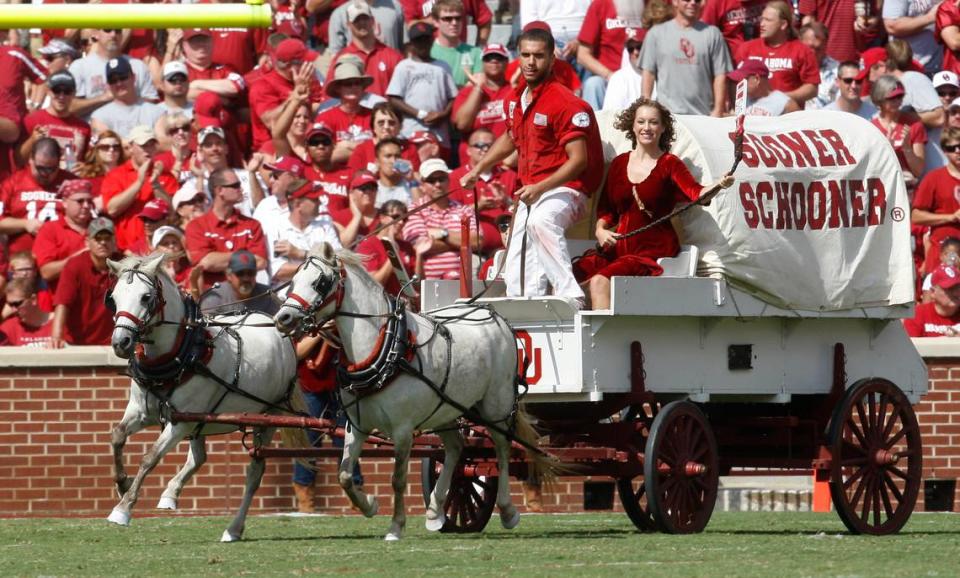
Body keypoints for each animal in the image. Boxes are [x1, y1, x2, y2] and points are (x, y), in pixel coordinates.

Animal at [104, 252, 304, 540]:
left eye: (146, 297)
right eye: (114, 297)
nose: (121, 342)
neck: (182, 353)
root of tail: (278, 331)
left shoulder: (179, 422)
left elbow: (150, 458)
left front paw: (123, 508)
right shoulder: (141, 412)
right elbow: (117, 436)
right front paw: (122, 483)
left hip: (268, 416)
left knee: (254, 473)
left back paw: (234, 528)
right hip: (199, 420)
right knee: (199, 457)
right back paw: (171, 493)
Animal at [274, 241, 552, 536]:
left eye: (320, 282)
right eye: (293, 281)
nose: (283, 317)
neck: (386, 347)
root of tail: (494, 315)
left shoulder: (403, 429)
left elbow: (398, 478)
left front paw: (396, 526)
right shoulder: (356, 426)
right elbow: (344, 475)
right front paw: (370, 505)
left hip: (496, 405)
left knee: (502, 448)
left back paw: (508, 511)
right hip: (446, 407)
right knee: (457, 448)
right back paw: (435, 510)